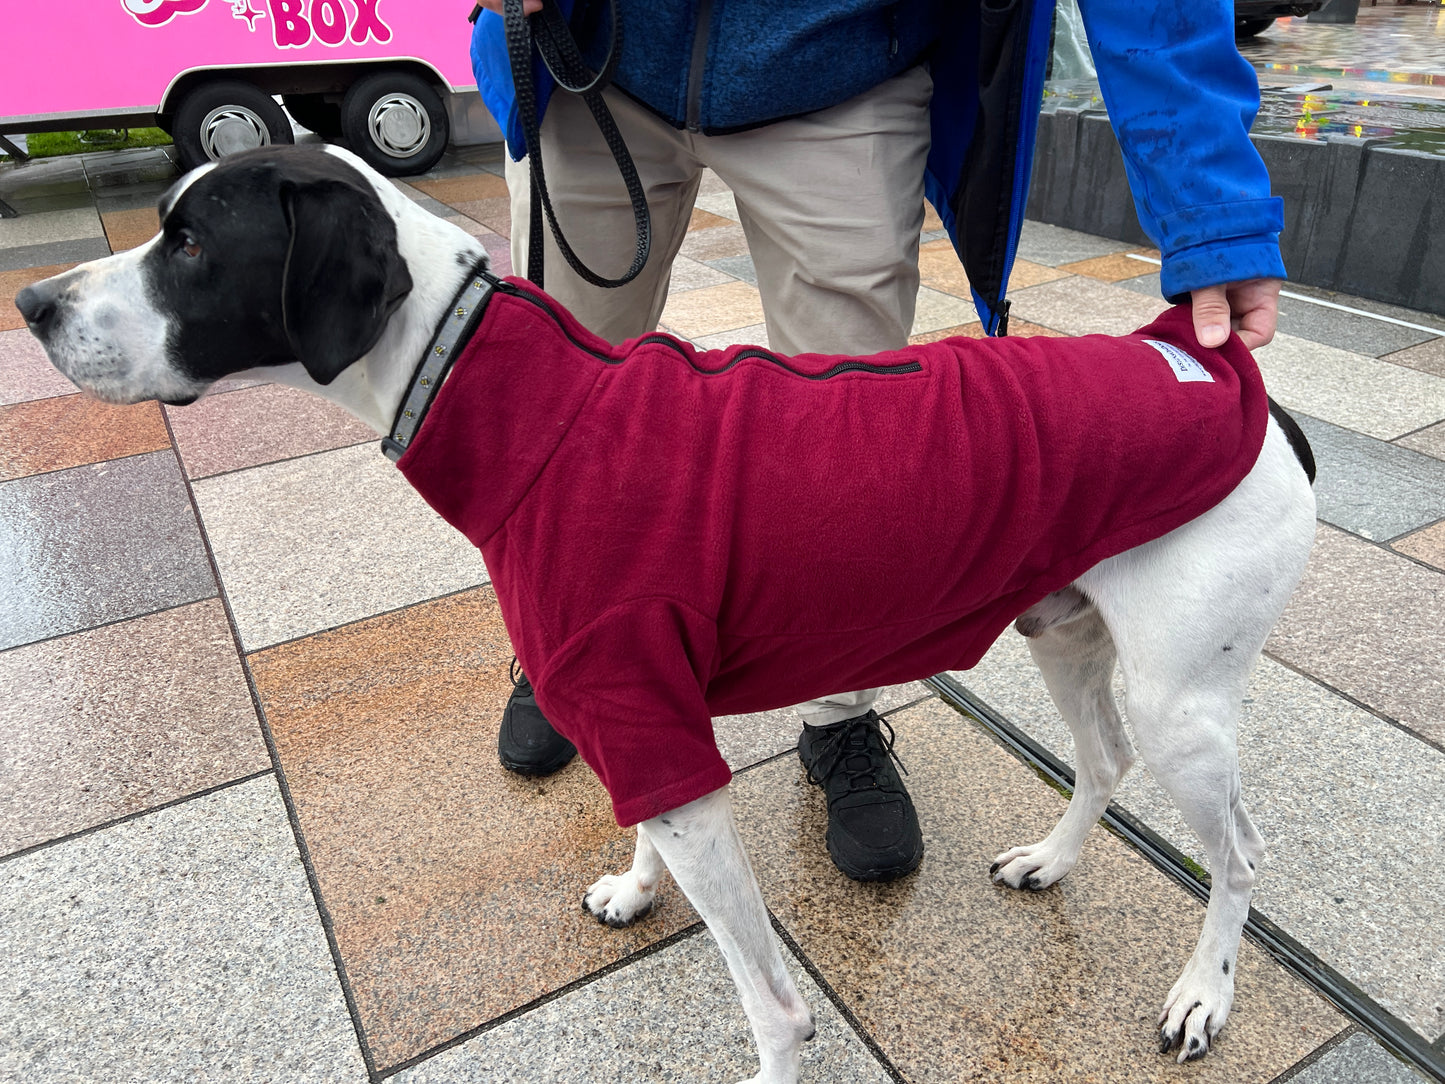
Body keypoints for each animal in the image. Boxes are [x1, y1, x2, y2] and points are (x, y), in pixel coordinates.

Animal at [14, 146, 1323, 1084]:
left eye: (191, 242)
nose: (29, 301)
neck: (513, 400)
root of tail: (1226, 373)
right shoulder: (640, 713)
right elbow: (642, 817)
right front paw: (638, 888)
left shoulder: (655, 718)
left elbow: (777, 1011)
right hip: (1067, 633)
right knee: (1100, 759)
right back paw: (1051, 862)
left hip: (1182, 703)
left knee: (1240, 853)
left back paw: (1203, 994)